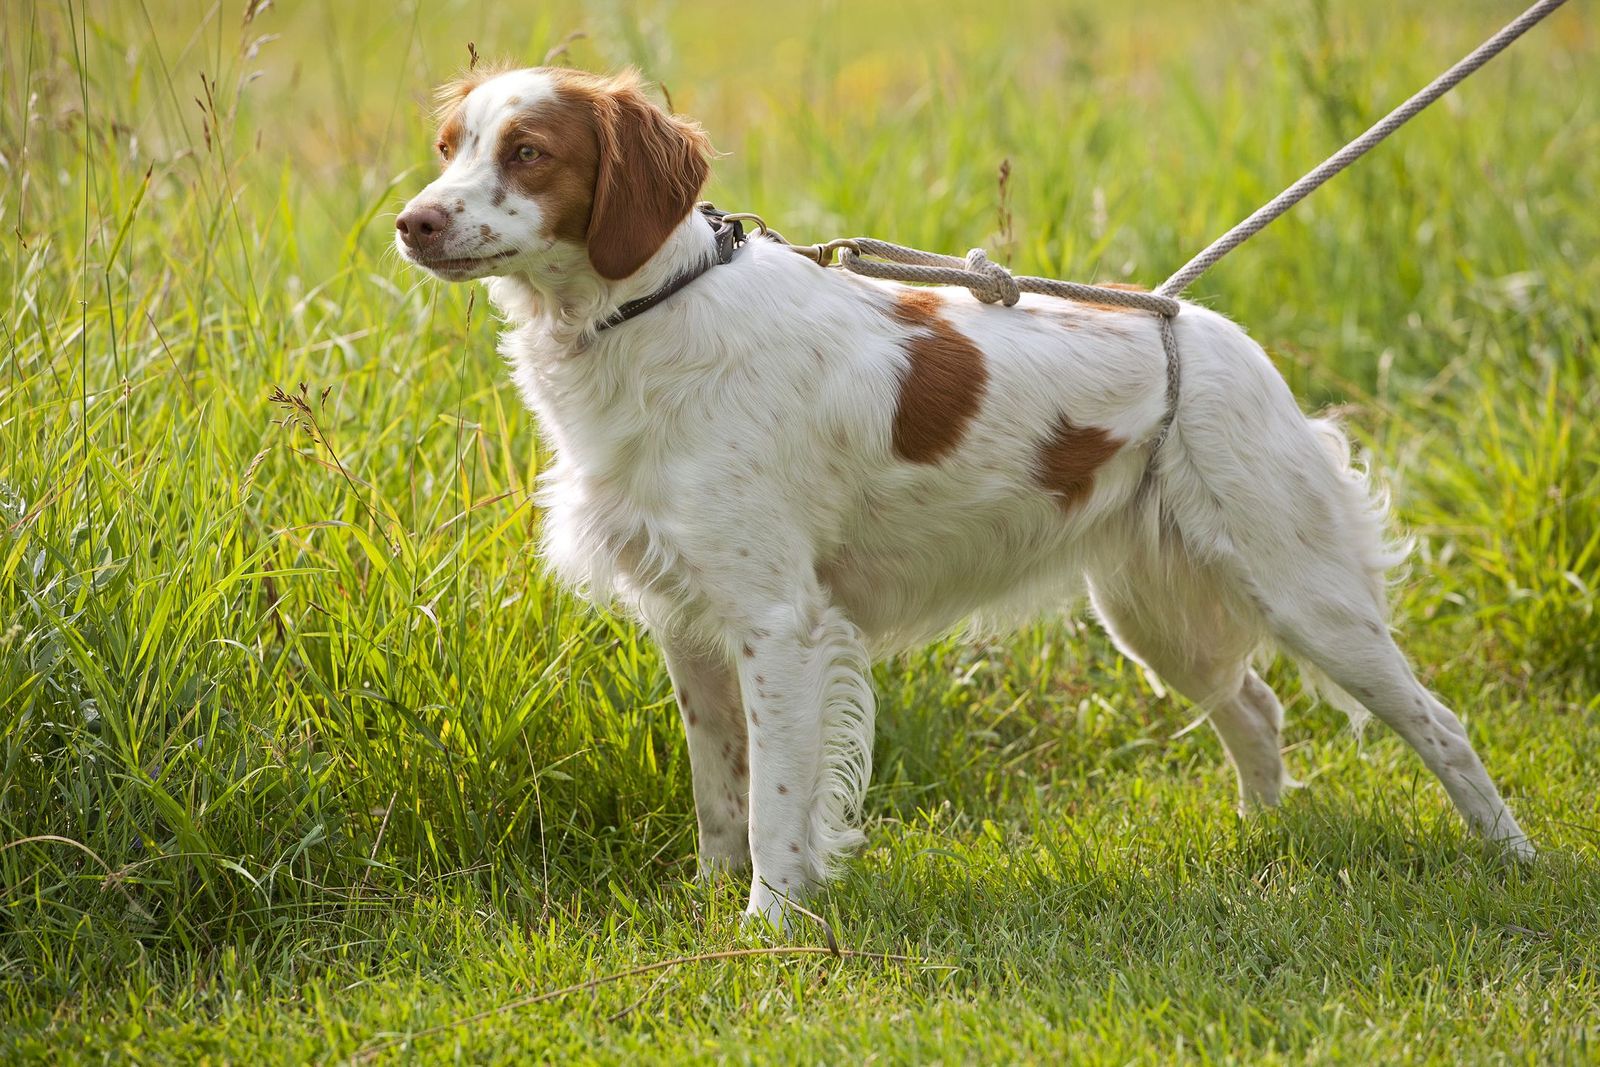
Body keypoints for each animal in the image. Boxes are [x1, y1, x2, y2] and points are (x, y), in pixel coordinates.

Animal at [393, 64, 1529, 927]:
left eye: (528, 151)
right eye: (449, 146)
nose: (411, 223)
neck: (639, 318)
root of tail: (1203, 327)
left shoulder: (779, 622)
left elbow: (776, 804)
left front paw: (770, 925)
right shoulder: (687, 620)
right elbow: (720, 792)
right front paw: (718, 904)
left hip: (1303, 591)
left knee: (1439, 723)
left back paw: (1511, 856)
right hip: (1153, 614)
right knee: (1251, 705)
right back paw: (1266, 837)